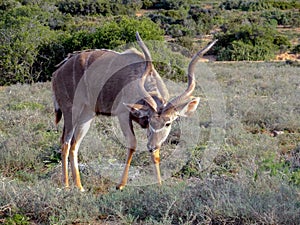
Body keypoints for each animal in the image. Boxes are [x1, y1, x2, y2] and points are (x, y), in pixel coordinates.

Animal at [51, 32, 216, 192]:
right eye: (150, 121)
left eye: (168, 123)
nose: (151, 147)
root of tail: (56, 73)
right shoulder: (123, 115)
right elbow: (132, 144)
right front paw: (120, 185)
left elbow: (156, 155)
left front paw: (159, 185)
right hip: (71, 111)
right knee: (65, 142)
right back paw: (66, 186)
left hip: (87, 115)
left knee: (74, 145)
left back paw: (79, 187)